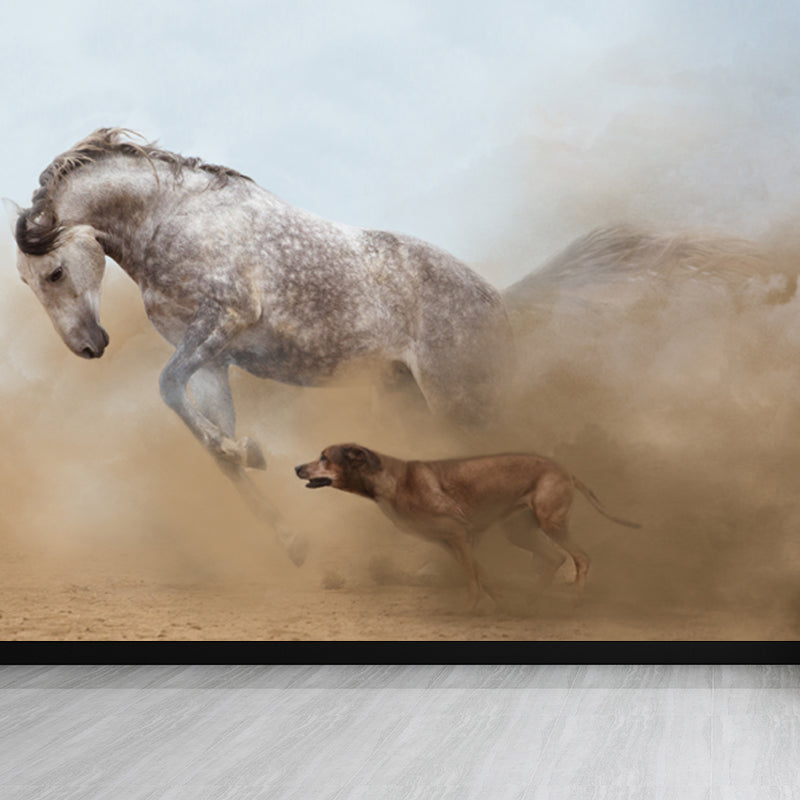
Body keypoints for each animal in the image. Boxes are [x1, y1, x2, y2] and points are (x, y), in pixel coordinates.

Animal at [5, 128, 514, 567]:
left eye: (54, 272)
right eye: (27, 281)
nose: (87, 346)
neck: (168, 220)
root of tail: (496, 303)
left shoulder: (222, 319)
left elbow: (168, 385)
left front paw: (248, 451)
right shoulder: (211, 361)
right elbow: (213, 442)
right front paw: (288, 532)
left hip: (455, 397)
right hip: (401, 395)